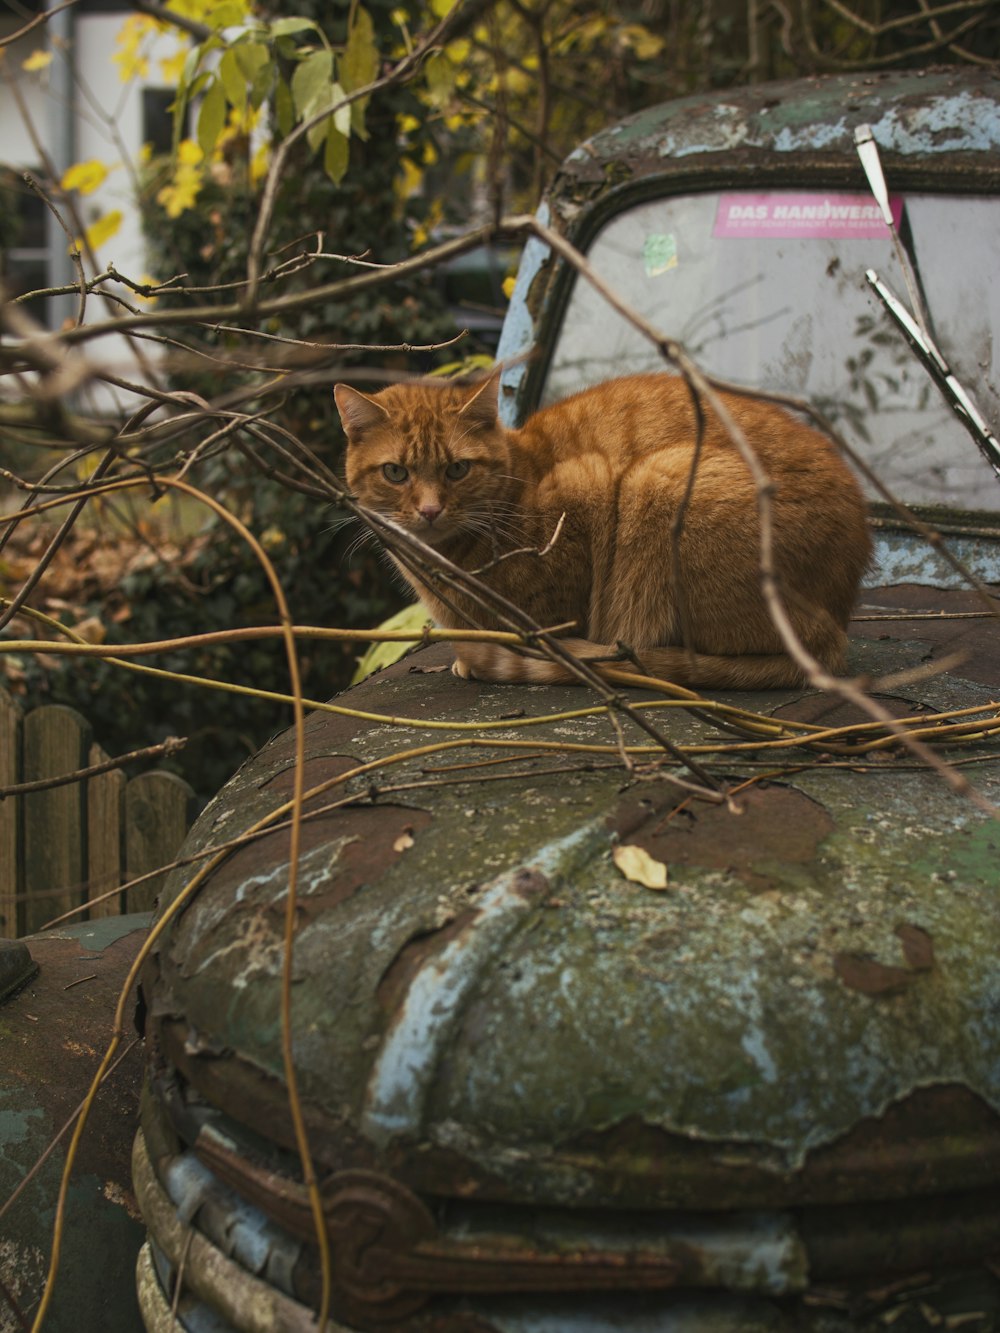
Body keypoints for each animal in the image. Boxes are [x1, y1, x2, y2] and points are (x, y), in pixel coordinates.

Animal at [334, 373, 869, 693]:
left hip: (659, 479)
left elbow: (554, 615)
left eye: (457, 469)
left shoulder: (584, 491)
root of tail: (837, 623)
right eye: (396, 473)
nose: (429, 510)